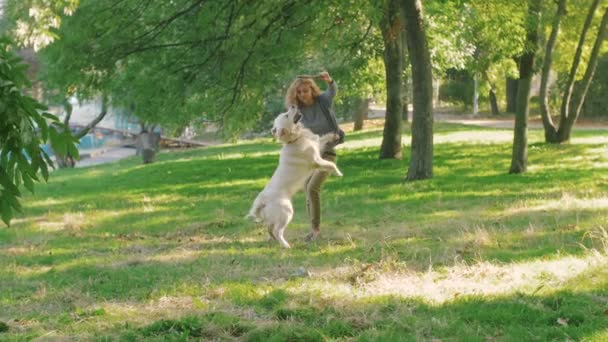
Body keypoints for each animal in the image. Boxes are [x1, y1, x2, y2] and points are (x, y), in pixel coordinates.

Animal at [247, 105, 342, 247]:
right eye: (287, 115)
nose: (293, 106)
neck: (295, 139)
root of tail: (262, 202)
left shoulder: (317, 147)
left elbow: (322, 139)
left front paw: (333, 135)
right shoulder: (316, 161)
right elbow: (330, 164)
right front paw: (338, 173)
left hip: (274, 218)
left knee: (270, 229)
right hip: (286, 213)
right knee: (277, 231)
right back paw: (286, 245)